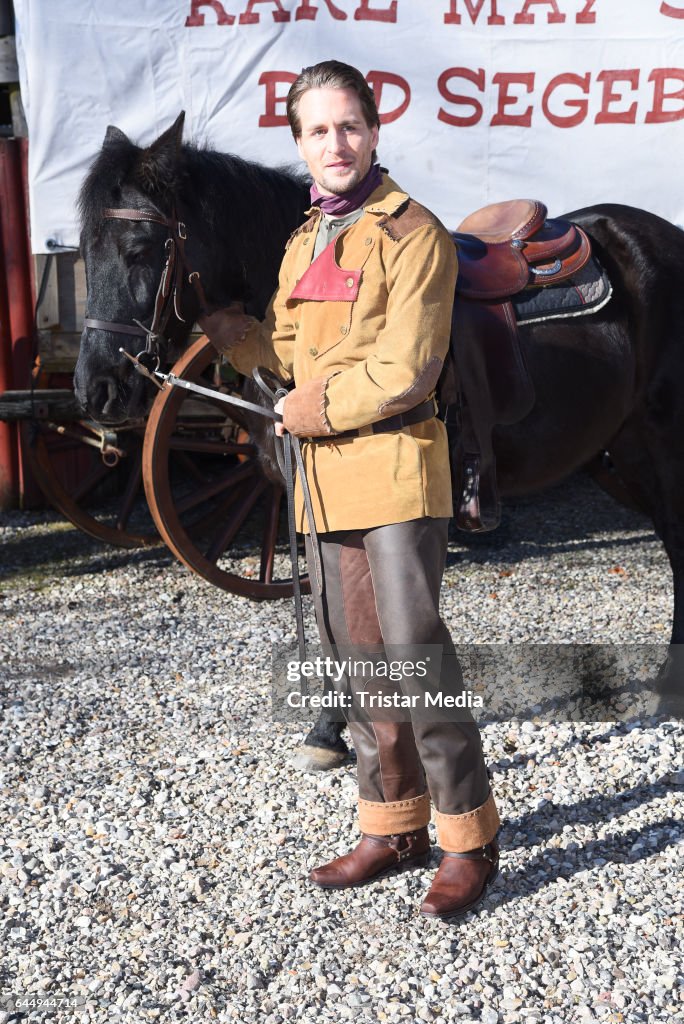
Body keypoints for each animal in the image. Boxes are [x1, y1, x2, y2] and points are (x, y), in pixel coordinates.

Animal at [74, 116, 684, 770]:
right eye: (83, 251)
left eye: (142, 249)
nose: (96, 390)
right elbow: (330, 608)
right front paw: (330, 728)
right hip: (618, 455)